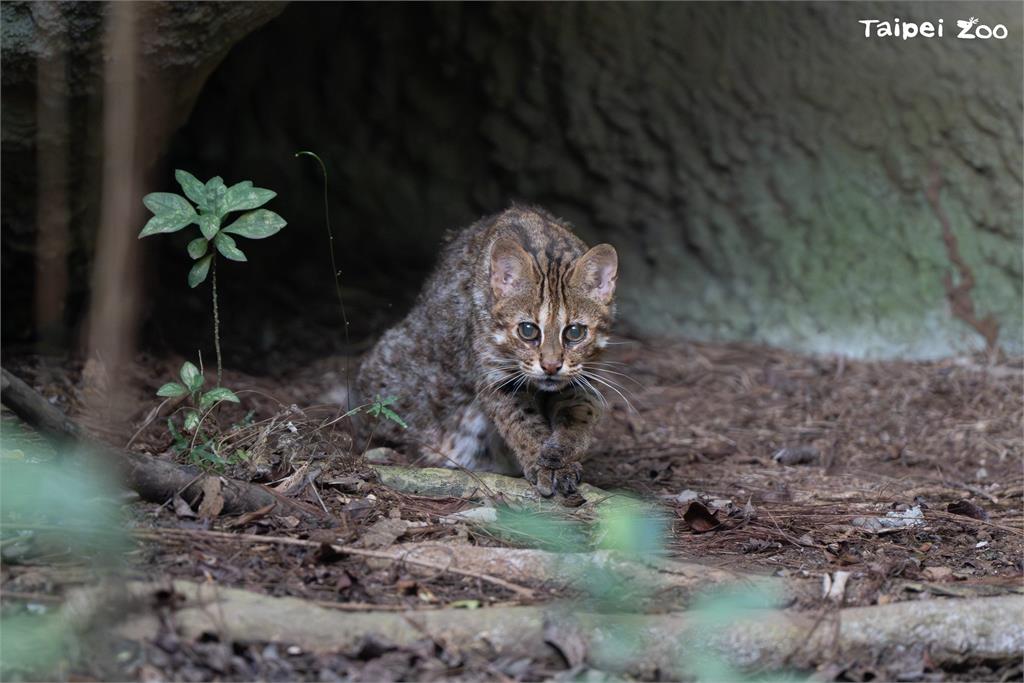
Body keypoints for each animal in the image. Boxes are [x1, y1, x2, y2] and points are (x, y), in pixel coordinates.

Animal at [356, 202, 618, 497]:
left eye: (575, 332)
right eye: (528, 330)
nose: (551, 367)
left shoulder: (581, 377)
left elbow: (578, 417)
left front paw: (559, 458)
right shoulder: (498, 379)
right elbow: (522, 423)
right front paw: (542, 462)